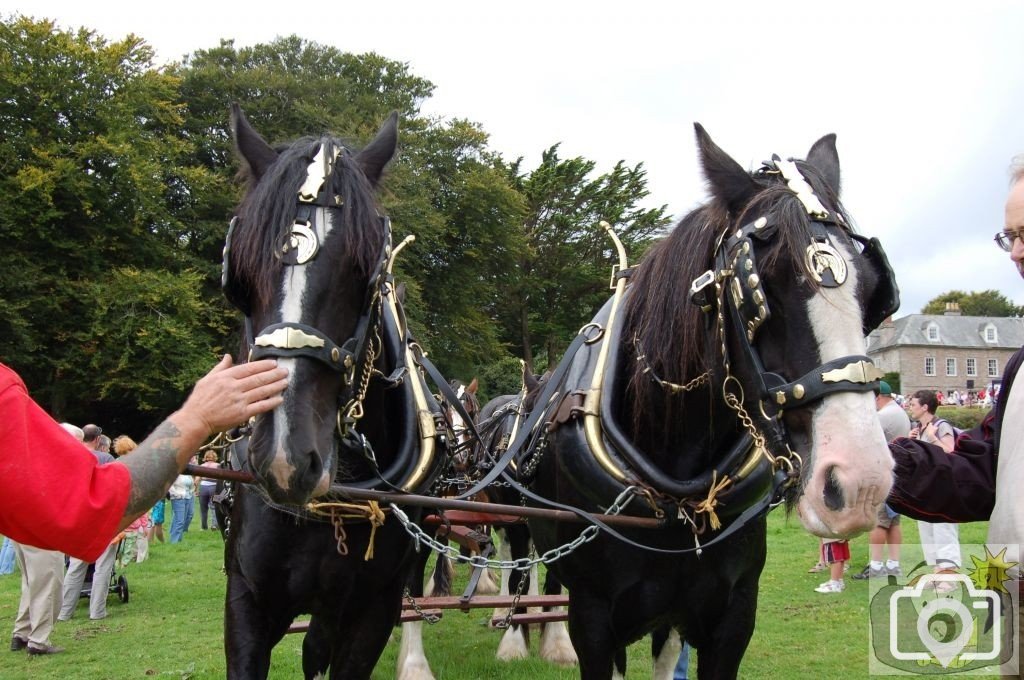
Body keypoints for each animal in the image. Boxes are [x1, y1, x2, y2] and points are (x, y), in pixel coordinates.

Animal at [528, 127, 897, 680]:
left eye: (874, 293)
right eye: (762, 288)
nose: (861, 485)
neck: (675, 499)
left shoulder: (732, 617)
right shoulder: (592, 619)